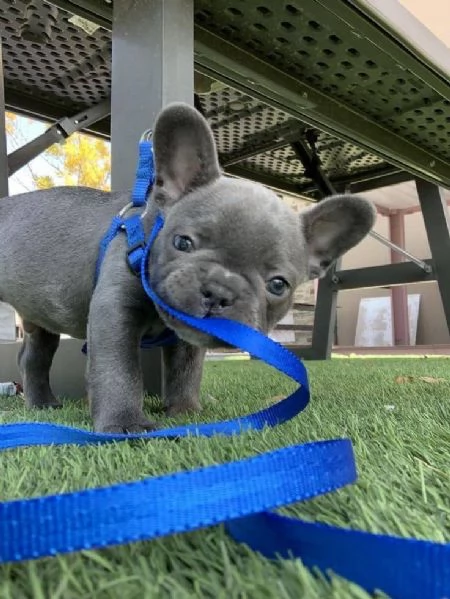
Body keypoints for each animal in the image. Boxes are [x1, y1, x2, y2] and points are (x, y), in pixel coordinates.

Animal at [0, 103, 376, 432]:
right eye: (183, 243)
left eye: (278, 285)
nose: (220, 291)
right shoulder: (114, 313)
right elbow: (118, 369)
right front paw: (124, 423)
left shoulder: (187, 339)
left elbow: (186, 369)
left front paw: (184, 410)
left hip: (40, 320)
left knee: (33, 356)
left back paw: (42, 403)